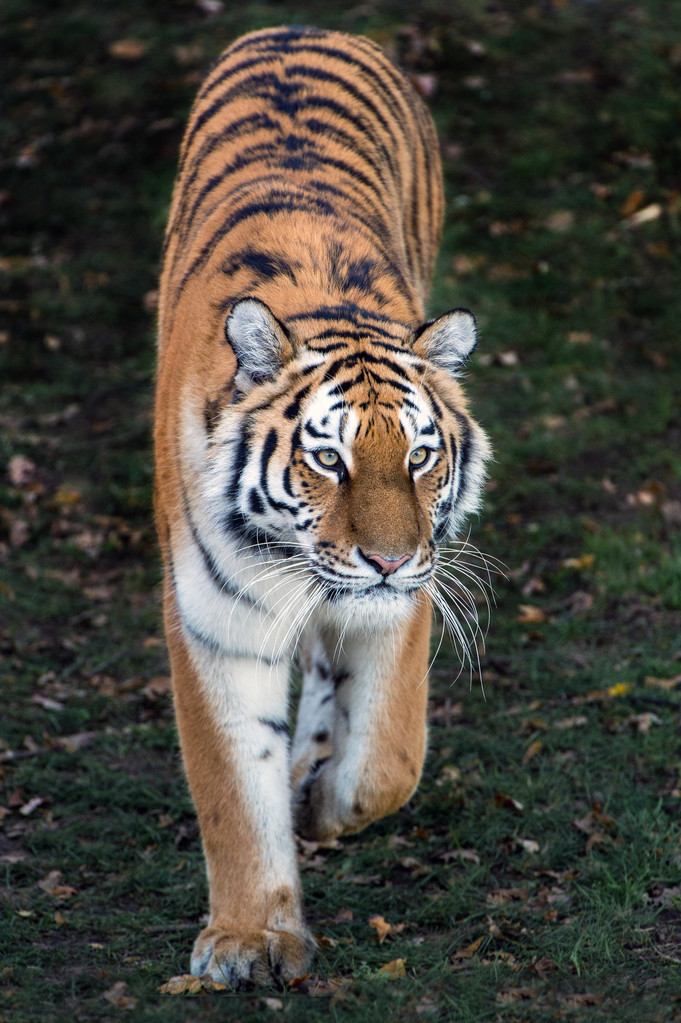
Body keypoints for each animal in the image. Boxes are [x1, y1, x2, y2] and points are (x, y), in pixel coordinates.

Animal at [155, 21, 488, 982]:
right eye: (328, 458)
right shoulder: (216, 621)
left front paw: (321, 800)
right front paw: (248, 937)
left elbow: (387, 758)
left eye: (419, 455)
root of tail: (299, 26)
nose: (386, 558)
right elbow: (232, 790)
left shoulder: (406, 598)